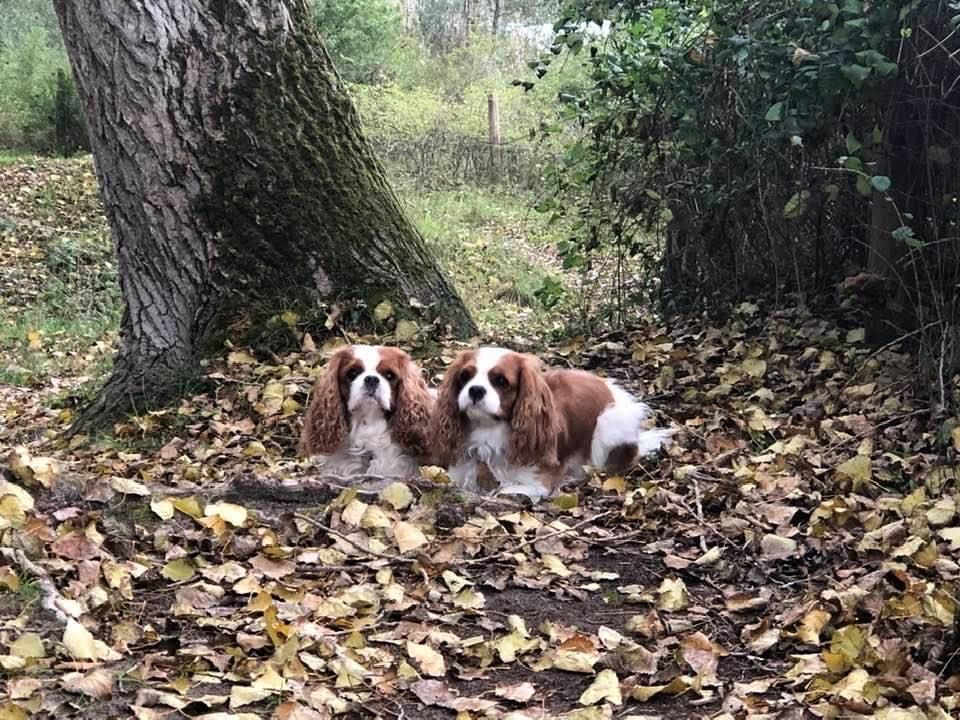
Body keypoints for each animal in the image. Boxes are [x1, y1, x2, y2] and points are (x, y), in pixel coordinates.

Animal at [432, 348, 672, 496]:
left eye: (500, 381)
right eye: (465, 376)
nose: (475, 390)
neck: (487, 432)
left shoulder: (538, 481)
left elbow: (503, 490)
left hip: (609, 425)